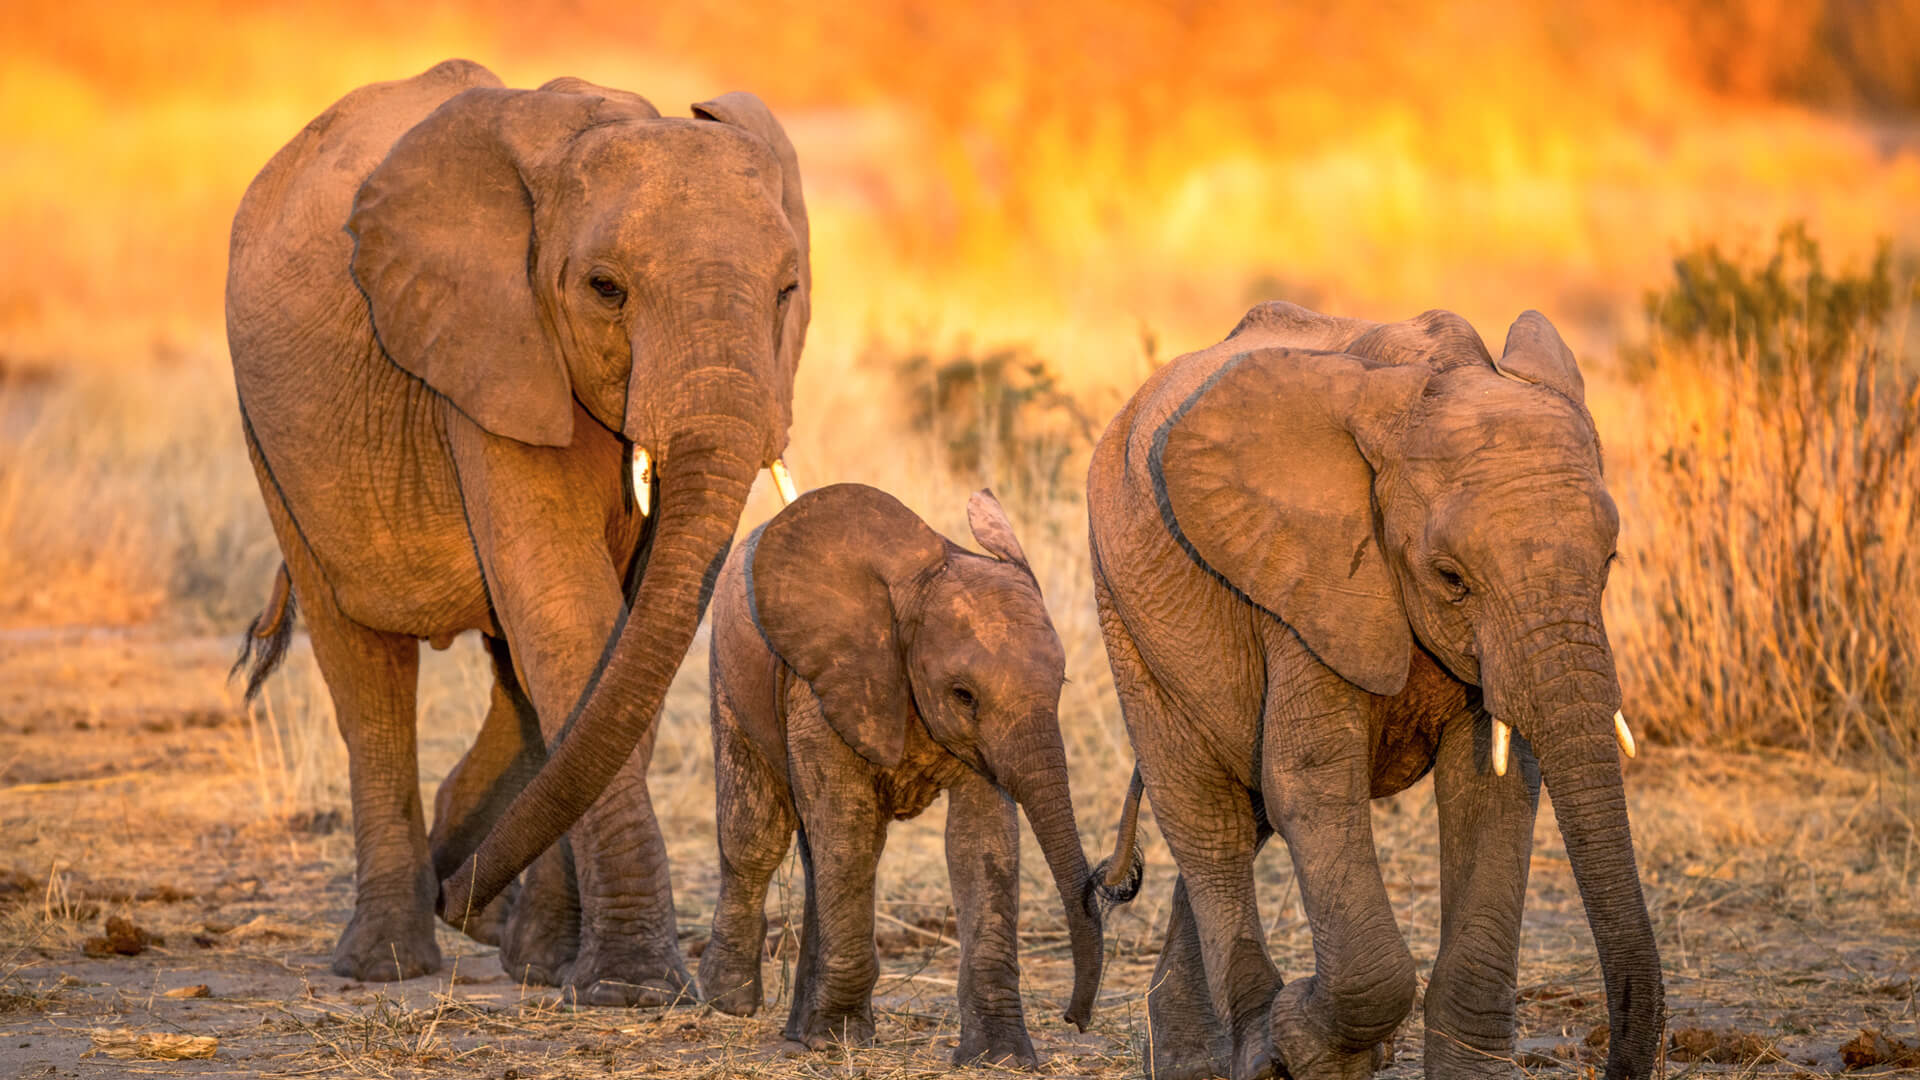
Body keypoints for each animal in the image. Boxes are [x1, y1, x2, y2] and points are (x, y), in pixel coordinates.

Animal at [224, 59, 811, 1003]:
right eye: (605, 289)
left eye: (788, 292)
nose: (459, 894)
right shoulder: (489, 346)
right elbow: (570, 611)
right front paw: (633, 990)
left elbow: (626, 629)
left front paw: (552, 964)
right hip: (271, 434)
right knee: (365, 670)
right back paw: (390, 957)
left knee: (516, 676)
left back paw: (488, 917)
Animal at [698, 483, 1139, 1064]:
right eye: (963, 694)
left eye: (1061, 683)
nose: (1075, 1018)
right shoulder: (826, 681)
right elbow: (850, 828)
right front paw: (842, 1039)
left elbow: (982, 842)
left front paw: (1000, 1057)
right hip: (728, 675)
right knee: (757, 833)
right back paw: (730, 1001)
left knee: (814, 852)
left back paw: (800, 1031)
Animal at [1087, 302, 1663, 1079]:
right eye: (1451, 578)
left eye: (1609, 562)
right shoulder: (1306, 577)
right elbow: (1311, 780)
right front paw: (1306, 1044)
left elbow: (1491, 789)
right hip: (1125, 611)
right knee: (1207, 818)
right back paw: (1248, 1051)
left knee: (1242, 806)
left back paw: (1203, 1056)